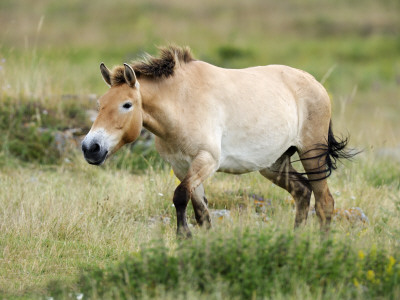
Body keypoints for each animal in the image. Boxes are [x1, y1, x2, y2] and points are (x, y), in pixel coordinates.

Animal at [80, 45, 354, 237]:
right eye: (100, 104)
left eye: (127, 104)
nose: (90, 148)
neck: (182, 102)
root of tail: (315, 83)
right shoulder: (182, 168)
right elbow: (201, 212)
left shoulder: (206, 161)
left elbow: (180, 197)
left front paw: (183, 237)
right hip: (274, 164)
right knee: (302, 192)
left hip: (312, 154)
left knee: (325, 203)